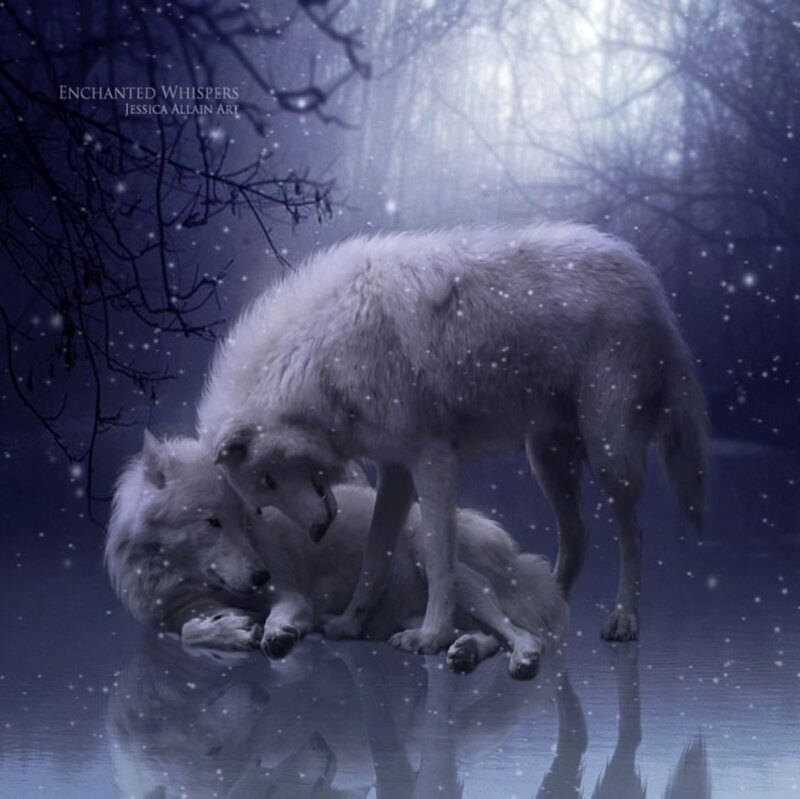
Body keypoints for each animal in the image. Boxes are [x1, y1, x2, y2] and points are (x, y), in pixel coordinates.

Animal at [106, 432, 568, 678]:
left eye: (249, 519)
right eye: (212, 522)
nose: (259, 576)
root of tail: (518, 558)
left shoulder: (293, 595)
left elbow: (282, 615)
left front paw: (276, 633)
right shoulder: (171, 617)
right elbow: (189, 631)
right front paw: (230, 630)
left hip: (435, 561)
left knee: (523, 634)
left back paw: (523, 659)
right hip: (410, 619)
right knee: (482, 637)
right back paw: (464, 653)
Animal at [199, 223, 708, 650]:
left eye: (269, 478)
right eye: (263, 495)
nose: (318, 532)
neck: (318, 354)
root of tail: (649, 282)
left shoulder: (433, 460)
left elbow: (439, 559)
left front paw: (431, 637)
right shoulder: (396, 471)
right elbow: (374, 558)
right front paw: (349, 624)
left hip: (608, 456)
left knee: (633, 533)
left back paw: (622, 619)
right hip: (546, 460)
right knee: (577, 534)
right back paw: (549, 606)